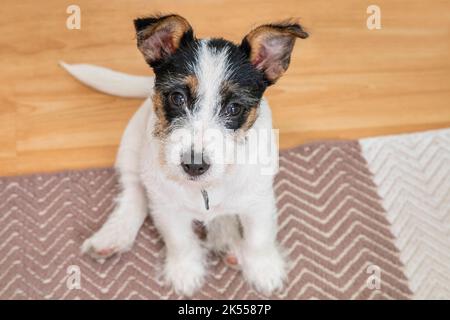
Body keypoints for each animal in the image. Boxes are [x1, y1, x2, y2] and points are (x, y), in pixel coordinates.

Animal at [61, 13, 308, 296]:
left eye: (234, 108)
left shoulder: (259, 200)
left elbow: (260, 237)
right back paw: (114, 235)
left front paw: (264, 271)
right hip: (131, 146)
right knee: (134, 192)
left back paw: (227, 239)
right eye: (177, 98)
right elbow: (179, 240)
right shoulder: (166, 207)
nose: (194, 165)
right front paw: (185, 273)